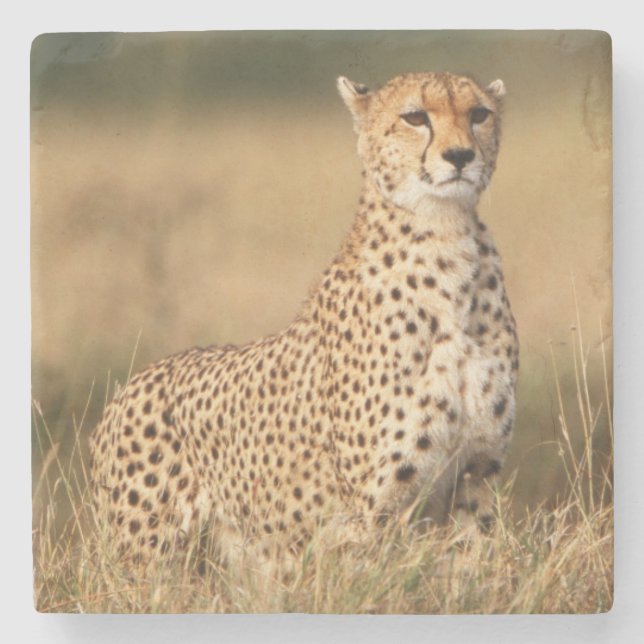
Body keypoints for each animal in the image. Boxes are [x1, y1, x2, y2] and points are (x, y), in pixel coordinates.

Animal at [89, 71, 519, 570]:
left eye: (479, 114)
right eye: (415, 117)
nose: (460, 156)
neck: (446, 237)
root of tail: (130, 383)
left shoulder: (476, 476)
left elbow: (474, 567)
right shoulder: (373, 509)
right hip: (145, 556)